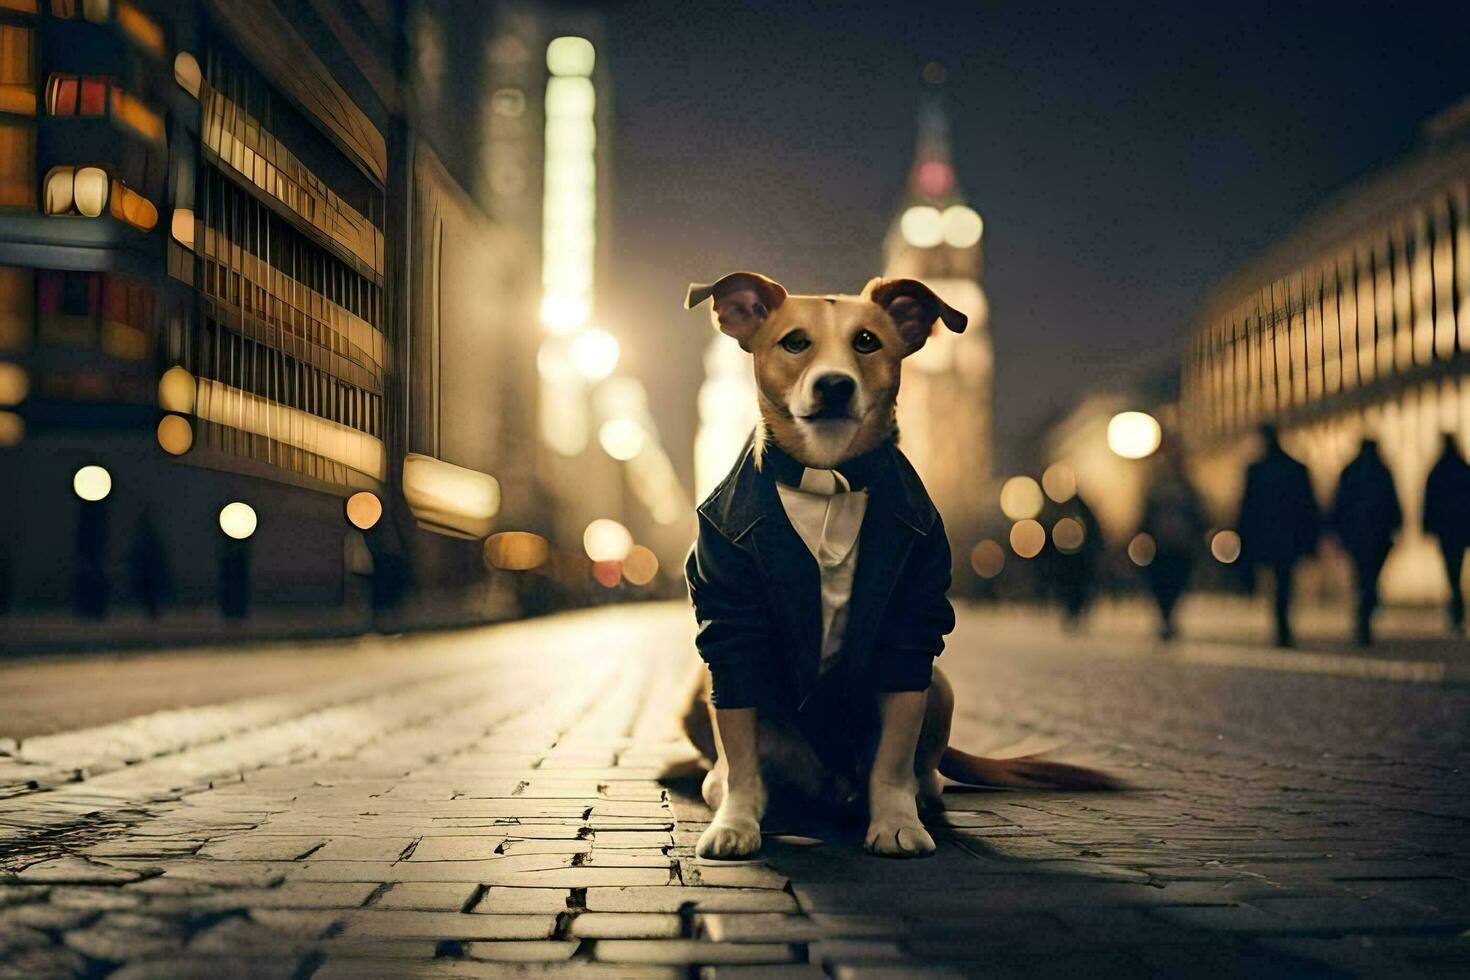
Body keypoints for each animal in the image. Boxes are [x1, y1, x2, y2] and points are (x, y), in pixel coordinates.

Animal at [682, 271, 1117, 863]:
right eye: (795, 342)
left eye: (867, 341)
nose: (835, 385)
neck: (830, 480)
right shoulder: (730, 628)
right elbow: (741, 750)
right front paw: (736, 821)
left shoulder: (911, 628)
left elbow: (892, 756)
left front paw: (894, 823)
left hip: (941, 683)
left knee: (921, 771)